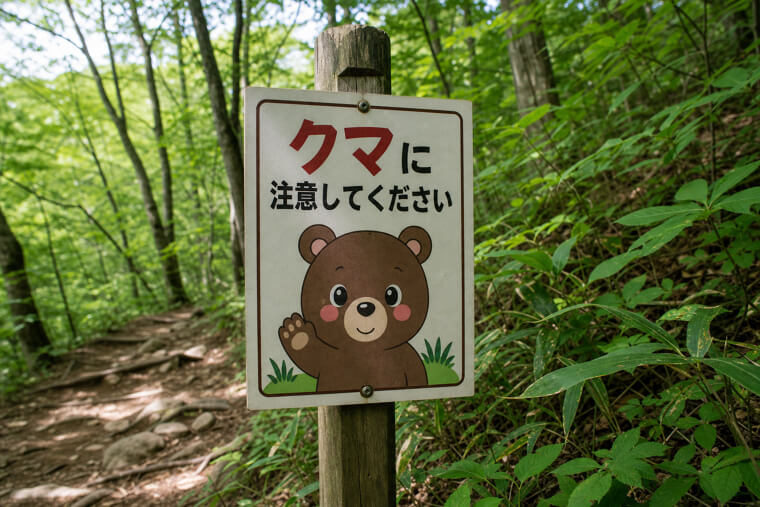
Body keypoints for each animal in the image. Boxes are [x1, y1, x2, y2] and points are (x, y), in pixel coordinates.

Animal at [277, 224, 431, 393]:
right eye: (339, 294)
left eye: (392, 294)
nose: (365, 307)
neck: (365, 349)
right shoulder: (329, 358)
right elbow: (311, 357)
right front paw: (296, 332)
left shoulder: (406, 358)